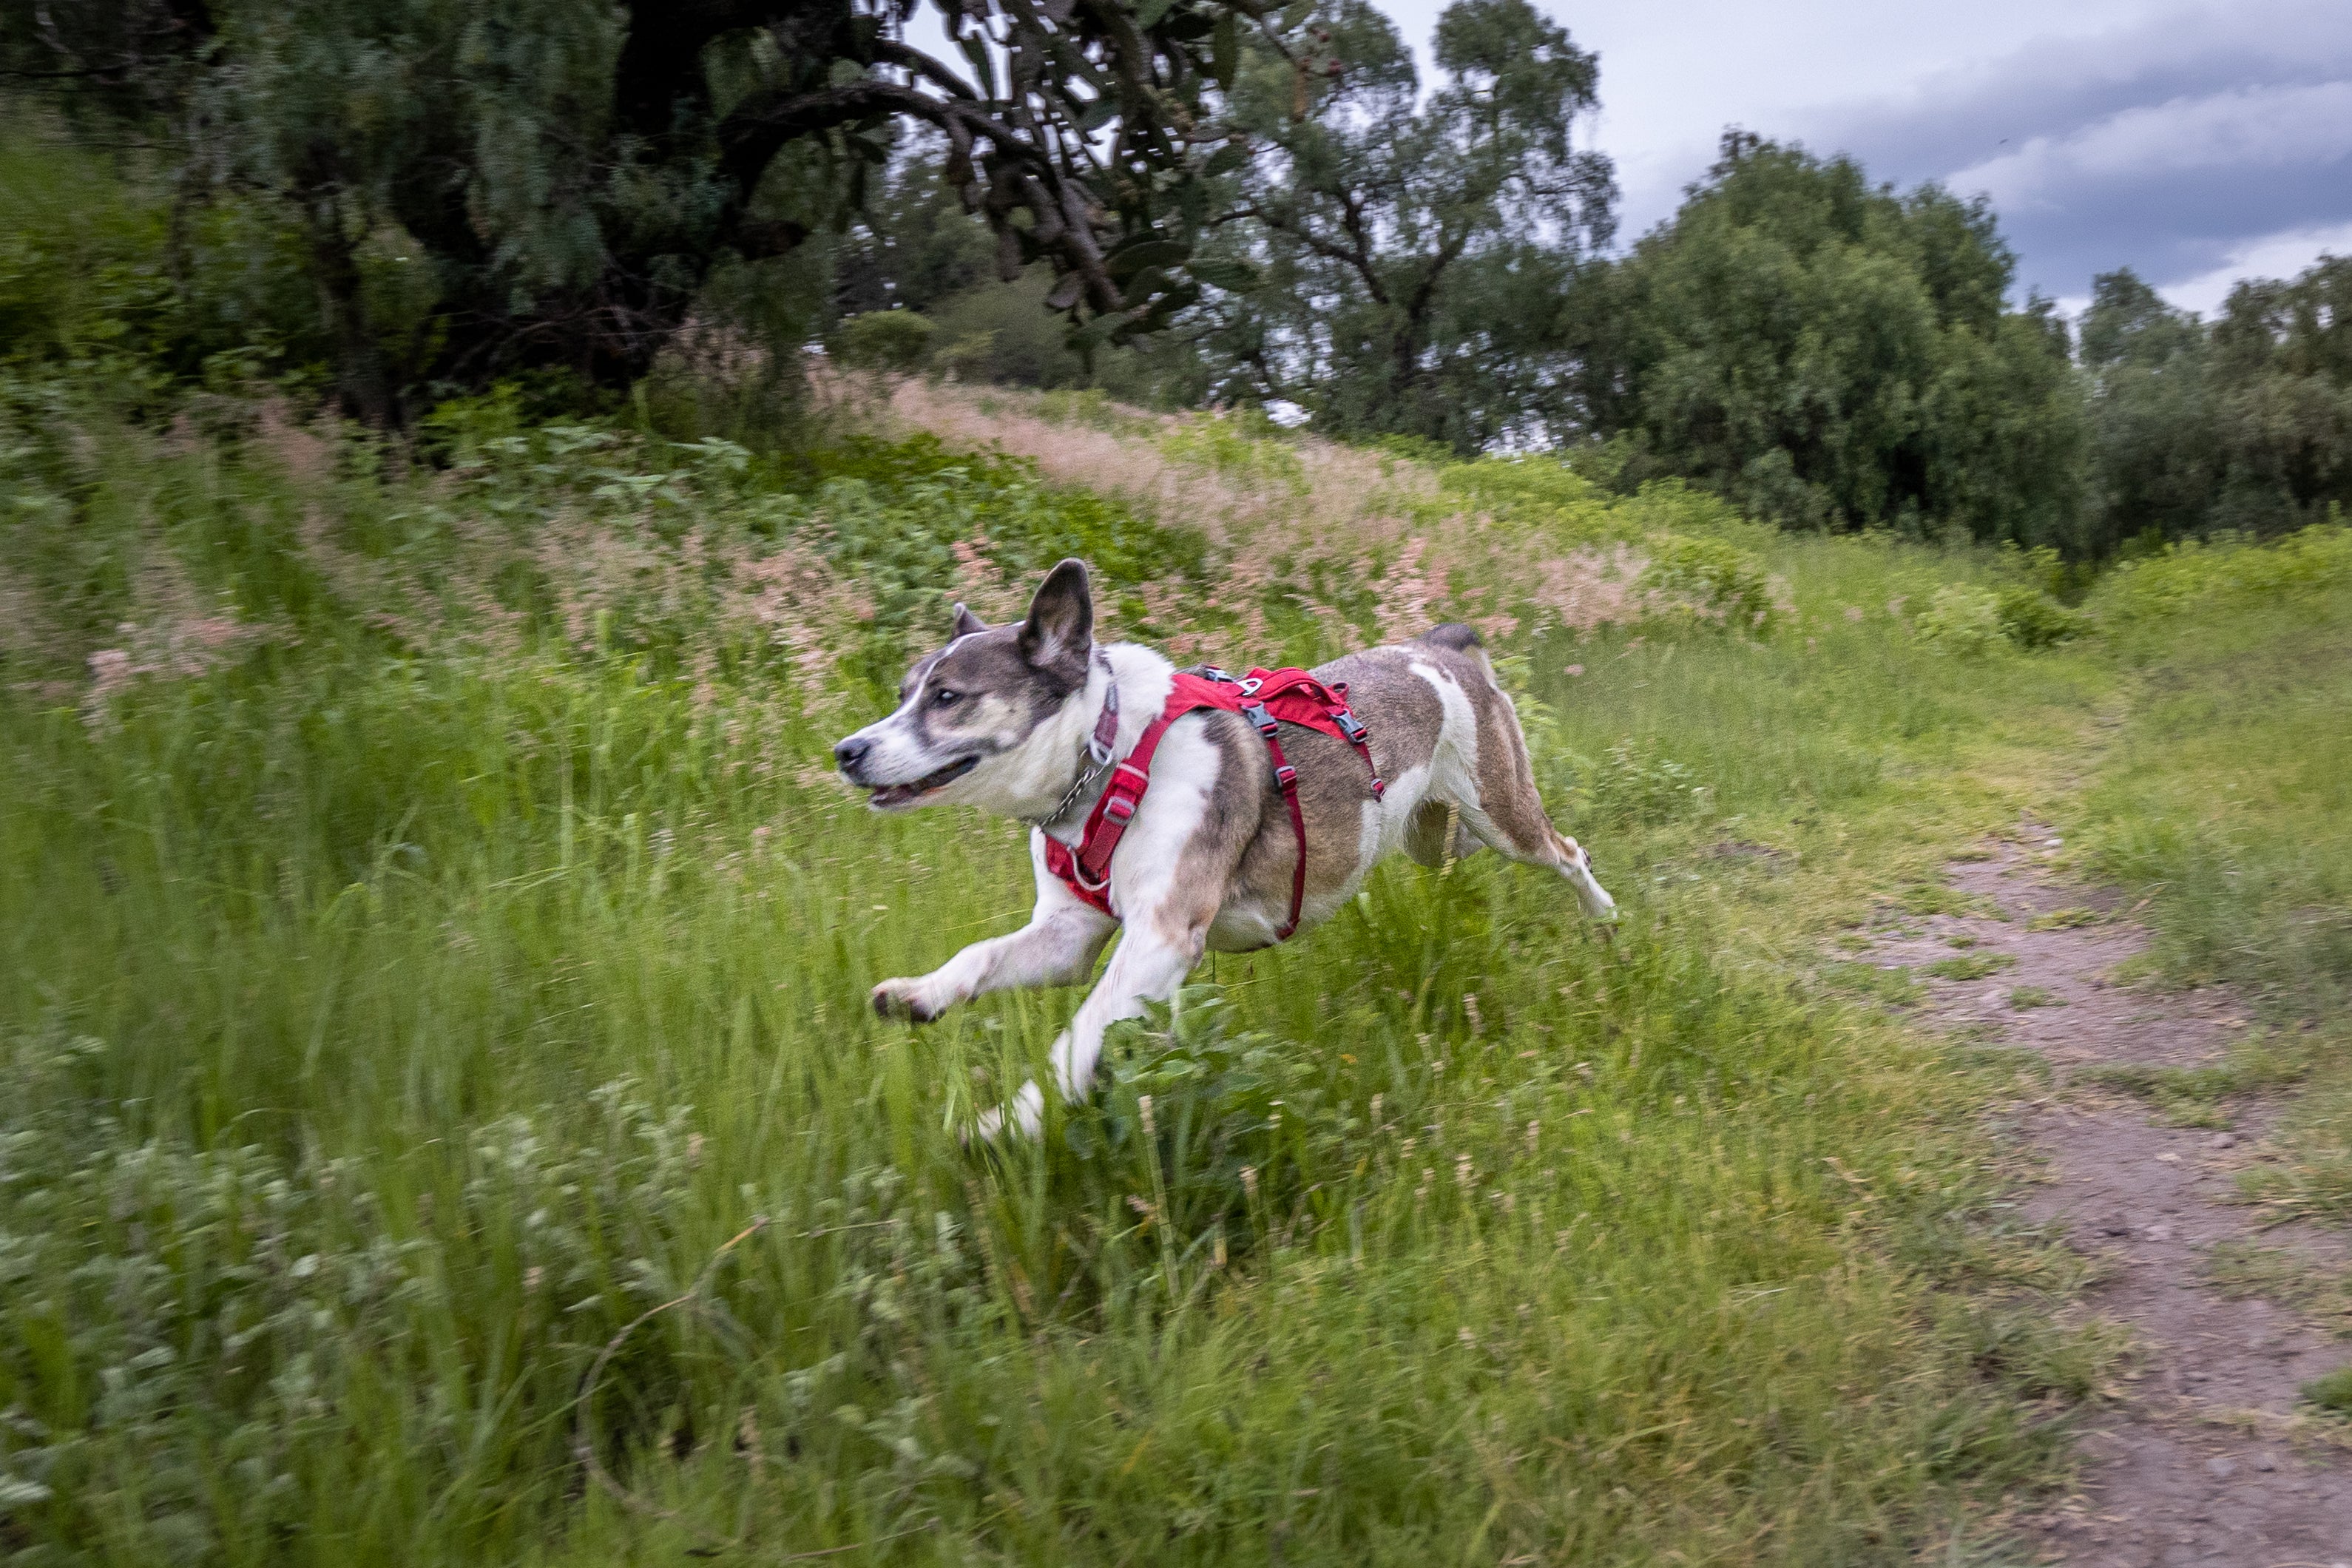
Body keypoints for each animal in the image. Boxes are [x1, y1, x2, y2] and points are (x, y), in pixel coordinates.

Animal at [832, 557, 1618, 1132]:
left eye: (948, 698)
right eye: (904, 693)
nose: (846, 751)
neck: (1109, 759)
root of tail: (1435, 648)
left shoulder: (1162, 938)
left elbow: (1079, 1038)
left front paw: (1007, 1125)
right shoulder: (1069, 934)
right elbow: (983, 957)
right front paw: (919, 995)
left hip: (1502, 814)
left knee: (1566, 850)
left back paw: (1605, 921)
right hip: (1437, 835)